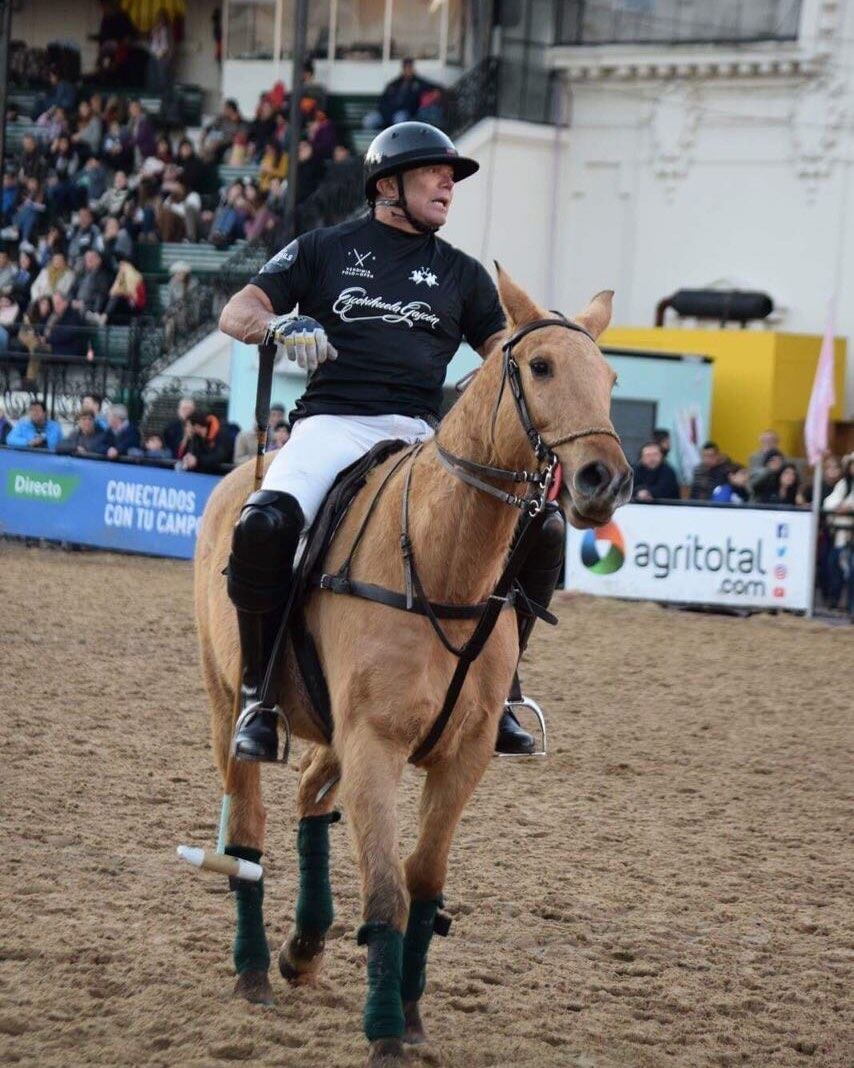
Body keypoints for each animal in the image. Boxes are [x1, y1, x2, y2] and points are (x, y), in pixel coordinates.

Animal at [195, 267, 631, 1059]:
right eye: (541, 366)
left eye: (611, 377)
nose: (602, 481)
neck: (442, 562)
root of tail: (241, 473)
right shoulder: (375, 743)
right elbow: (386, 890)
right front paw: (386, 1032)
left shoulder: (463, 753)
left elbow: (423, 881)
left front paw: (411, 1010)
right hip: (226, 697)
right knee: (248, 821)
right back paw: (254, 970)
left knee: (310, 796)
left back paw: (305, 947)